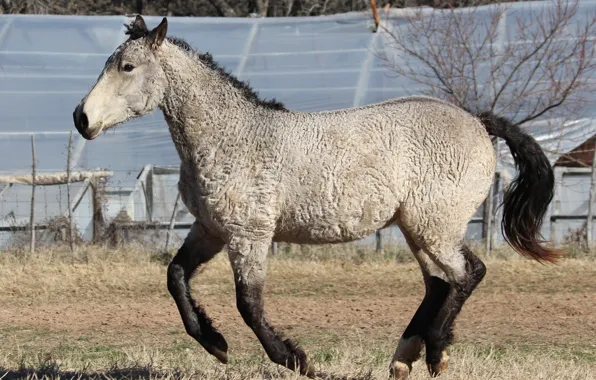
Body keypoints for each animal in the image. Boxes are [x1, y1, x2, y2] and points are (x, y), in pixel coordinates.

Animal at [72, 15, 560, 380]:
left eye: (127, 67)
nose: (81, 118)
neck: (231, 138)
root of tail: (477, 121)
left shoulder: (250, 235)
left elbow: (248, 303)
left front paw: (294, 358)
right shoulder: (210, 230)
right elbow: (175, 277)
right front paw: (215, 343)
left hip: (436, 227)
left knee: (468, 274)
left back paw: (437, 353)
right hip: (416, 229)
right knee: (440, 284)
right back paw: (404, 359)